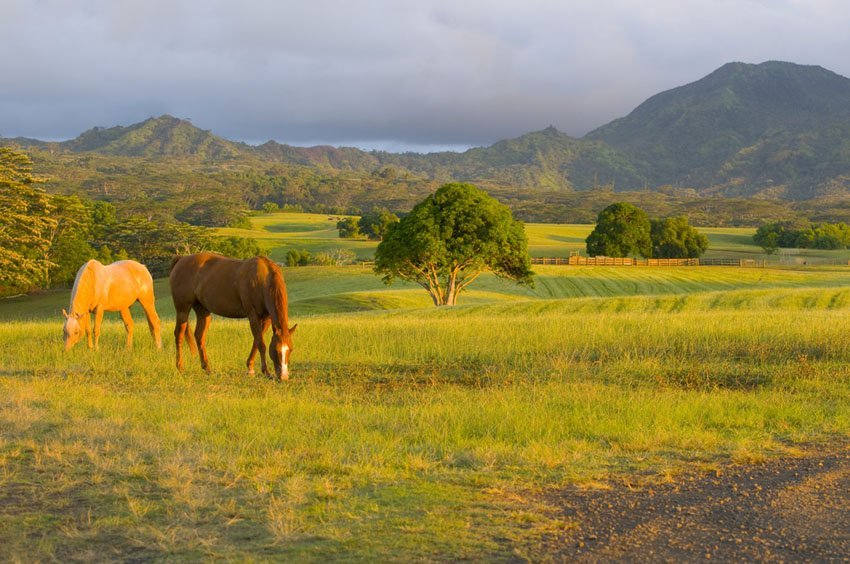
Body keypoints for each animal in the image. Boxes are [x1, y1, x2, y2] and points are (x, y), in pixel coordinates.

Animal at [167, 253, 296, 382]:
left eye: (290, 349)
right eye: (276, 350)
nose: (284, 376)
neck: (262, 279)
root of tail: (181, 259)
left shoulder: (267, 318)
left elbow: (256, 342)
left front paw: (250, 368)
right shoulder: (253, 315)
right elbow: (261, 344)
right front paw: (266, 372)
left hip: (202, 311)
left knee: (199, 336)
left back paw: (207, 368)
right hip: (183, 309)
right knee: (179, 335)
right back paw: (180, 368)